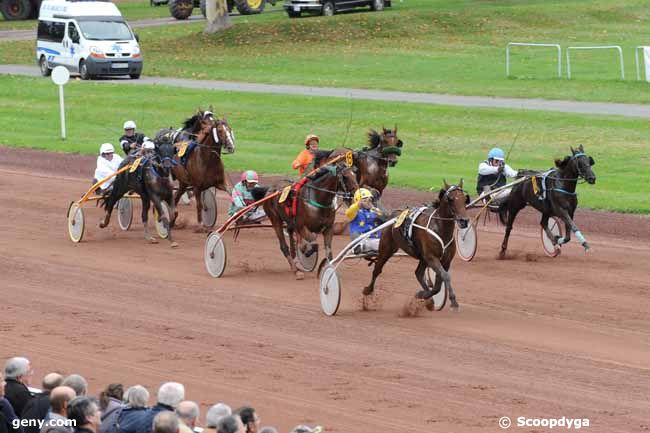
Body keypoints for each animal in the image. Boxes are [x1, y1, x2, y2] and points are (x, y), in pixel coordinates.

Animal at [362, 181, 468, 310]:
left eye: (465, 199)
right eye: (450, 199)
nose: (464, 221)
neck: (441, 229)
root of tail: (392, 216)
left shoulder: (445, 260)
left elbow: (439, 283)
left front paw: (423, 295)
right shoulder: (431, 257)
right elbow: (445, 276)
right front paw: (453, 302)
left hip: (422, 257)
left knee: (418, 273)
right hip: (386, 249)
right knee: (377, 269)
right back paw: (368, 290)